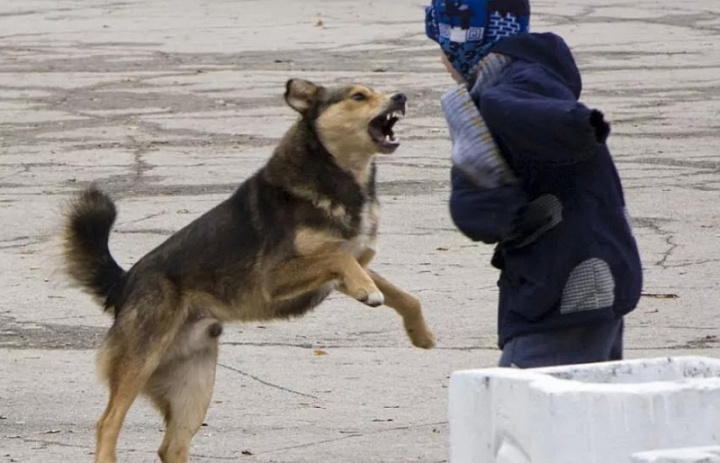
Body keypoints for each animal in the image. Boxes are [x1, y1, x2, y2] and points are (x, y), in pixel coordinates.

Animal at [63, 80, 434, 463]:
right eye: (358, 96)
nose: (401, 96)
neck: (337, 175)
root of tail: (124, 284)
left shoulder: (349, 270)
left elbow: (406, 296)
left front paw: (420, 334)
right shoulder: (277, 277)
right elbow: (339, 258)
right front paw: (369, 294)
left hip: (194, 384)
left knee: (172, 446)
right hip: (141, 359)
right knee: (108, 423)